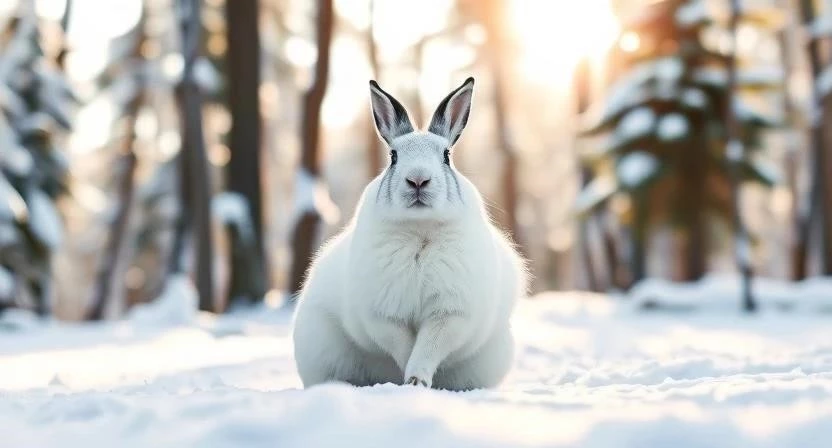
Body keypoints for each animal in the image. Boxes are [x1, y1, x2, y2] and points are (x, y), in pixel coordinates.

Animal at [291, 77, 527, 391]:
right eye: (393, 156)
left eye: (446, 156)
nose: (417, 179)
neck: (420, 230)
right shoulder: (384, 315)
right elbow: (404, 345)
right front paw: (412, 381)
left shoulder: (449, 312)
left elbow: (428, 346)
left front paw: (417, 381)